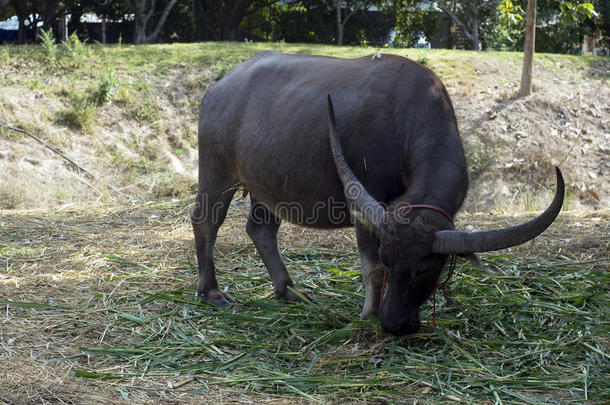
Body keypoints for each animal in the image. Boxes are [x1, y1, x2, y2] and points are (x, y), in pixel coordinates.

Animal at [190, 50, 560, 334]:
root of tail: (219, 88)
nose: (395, 323)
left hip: (266, 186)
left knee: (261, 230)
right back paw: (212, 292)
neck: (405, 120)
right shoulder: (365, 207)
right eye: (389, 257)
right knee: (206, 222)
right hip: (217, 169)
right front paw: (368, 315)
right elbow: (372, 269)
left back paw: (290, 290)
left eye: (424, 268)